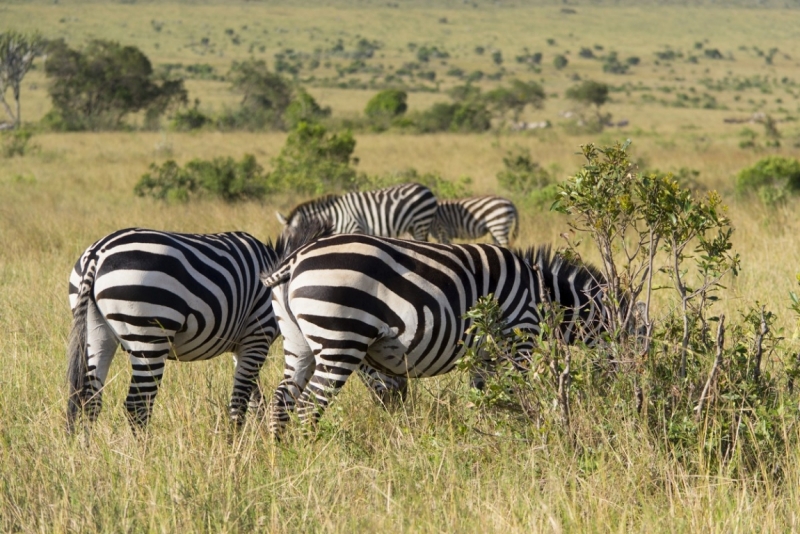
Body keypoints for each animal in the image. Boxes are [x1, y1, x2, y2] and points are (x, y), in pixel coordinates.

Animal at [66, 227, 328, 436]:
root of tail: (97, 254)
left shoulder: (242, 345)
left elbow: (255, 399)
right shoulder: (257, 334)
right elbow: (241, 399)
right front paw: (235, 447)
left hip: (96, 332)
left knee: (89, 398)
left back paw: (87, 454)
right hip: (148, 336)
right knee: (137, 406)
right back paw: (143, 459)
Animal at [260, 234, 608, 436]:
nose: (616, 401)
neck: (540, 294)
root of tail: (294, 260)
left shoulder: (484, 355)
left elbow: (485, 399)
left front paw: (487, 436)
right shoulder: (517, 340)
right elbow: (515, 395)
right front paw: (520, 435)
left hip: (298, 343)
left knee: (282, 399)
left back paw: (283, 456)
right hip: (340, 340)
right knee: (308, 406)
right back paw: (311, 457)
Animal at [276, 184, 438, 243]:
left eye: (291, 239)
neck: (334, 215)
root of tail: (426, 189)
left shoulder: (355, 228)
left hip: (421, 223)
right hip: (412, 227)